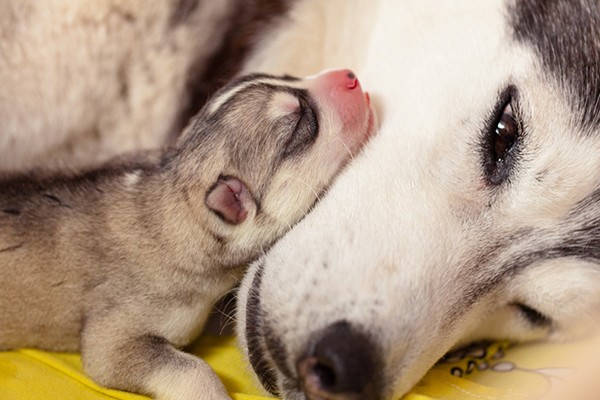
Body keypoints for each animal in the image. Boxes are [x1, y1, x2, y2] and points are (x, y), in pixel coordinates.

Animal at [0, 69, 376, 400]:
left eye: (288, 75)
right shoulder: (117, 329)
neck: (174, 192)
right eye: (300, 123)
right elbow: (180, 367)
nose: (349, 75)